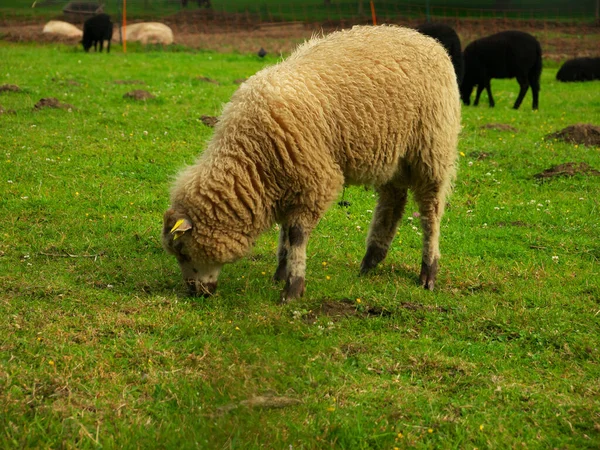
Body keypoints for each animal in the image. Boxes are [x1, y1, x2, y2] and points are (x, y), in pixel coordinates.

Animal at [162, 24, 462, 302]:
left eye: (182, 251)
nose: (196, 293)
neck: (251, 156)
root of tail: (426, 39)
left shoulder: (315, 181)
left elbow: (295, 235)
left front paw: (293, 287)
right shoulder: (289, 182)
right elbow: (285, 232)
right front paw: (281, 271)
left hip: (432, 149)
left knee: (430, 212)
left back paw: (428, 271)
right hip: (392, 157)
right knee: (392, 202)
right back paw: (370, 261)